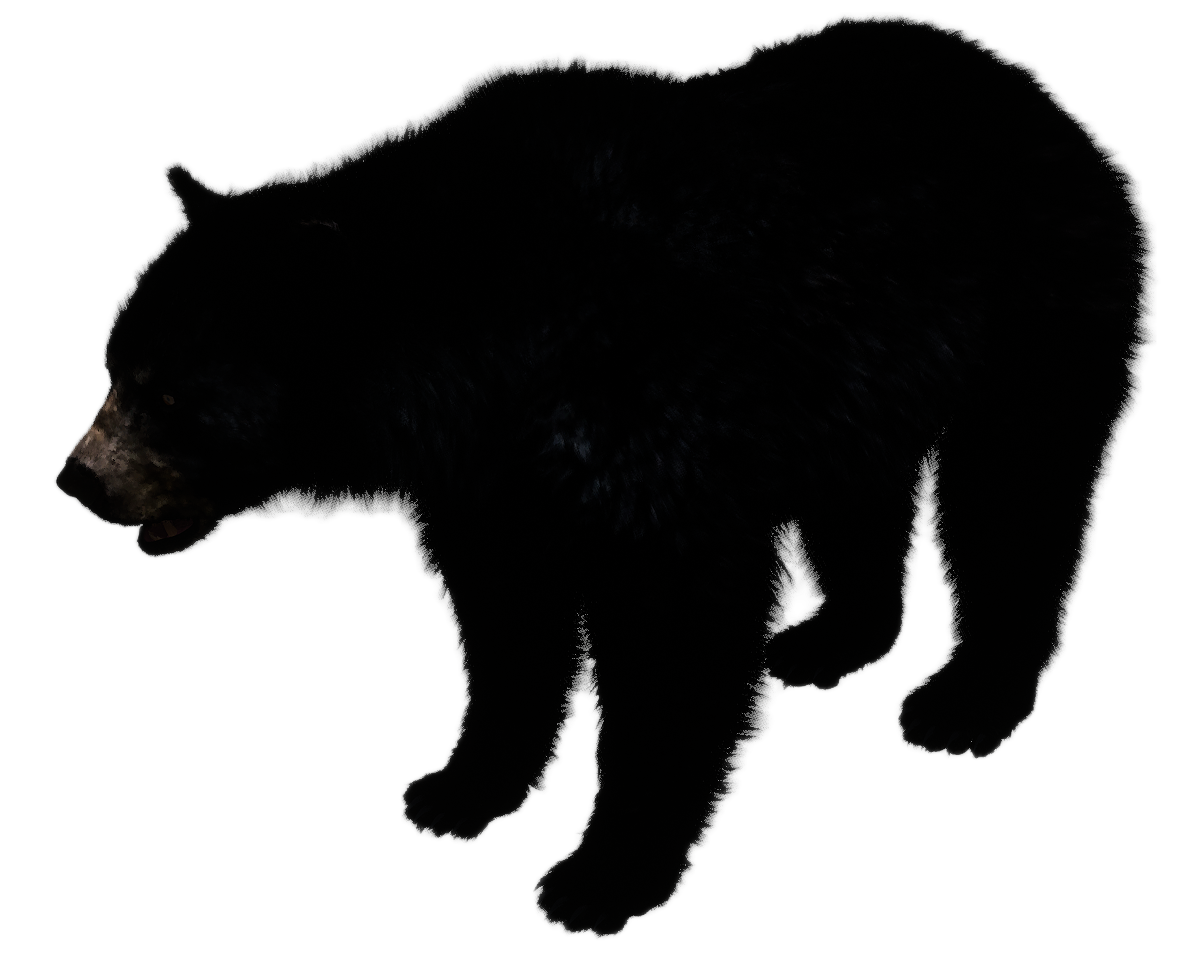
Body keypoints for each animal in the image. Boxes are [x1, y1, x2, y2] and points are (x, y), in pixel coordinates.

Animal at [51, 12, 1157, 940]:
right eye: (114, 367)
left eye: (167, 395)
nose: (78, 480)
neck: (488, 347)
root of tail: (1040, 98)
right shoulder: (486, 475)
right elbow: (506, 621)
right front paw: (459, 787)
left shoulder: (650, 413)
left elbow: (674, 635)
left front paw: (599, 876)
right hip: (859, 365)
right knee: (862, 482)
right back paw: (837, 636)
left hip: (1036, 303)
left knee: (1015, 487)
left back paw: (965, 702)